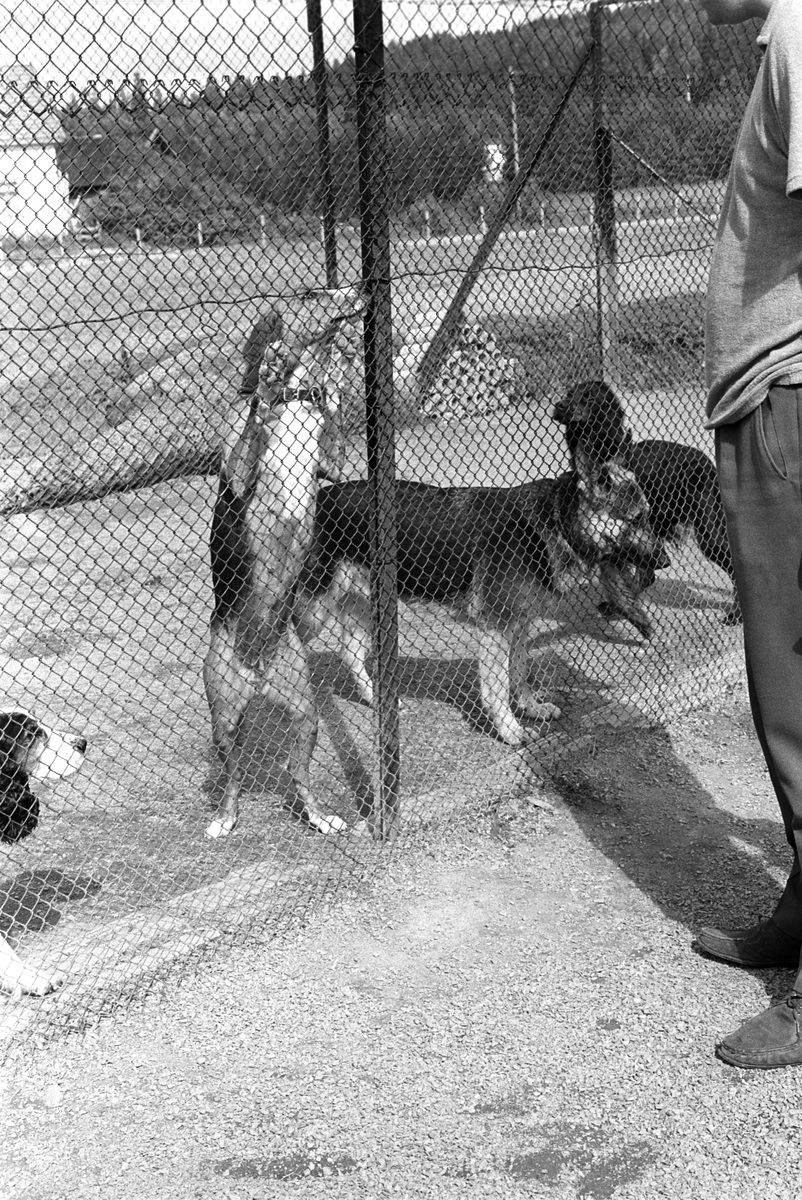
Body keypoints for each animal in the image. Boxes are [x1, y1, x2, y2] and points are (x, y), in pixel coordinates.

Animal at [554, 381, 734, 628]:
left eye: (589, 398)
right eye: (570, 393)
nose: (559, 405)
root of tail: (706, 460)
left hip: (709, 535)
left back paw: (736, 615)